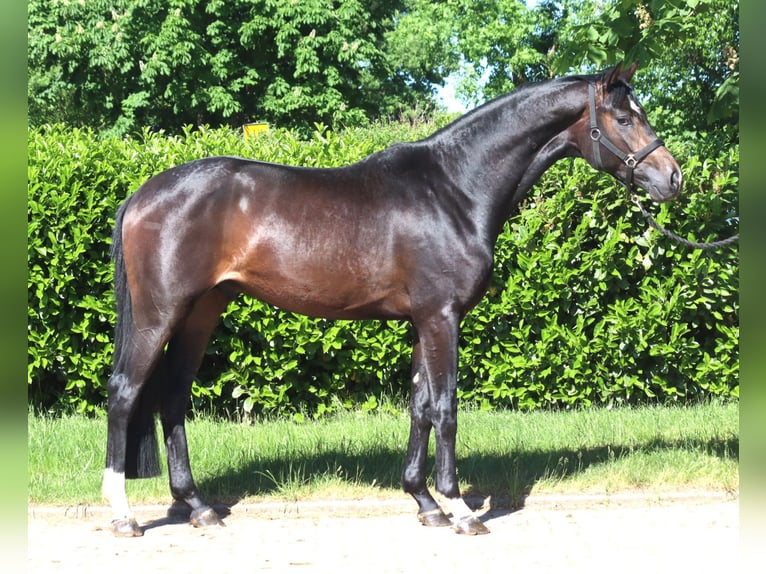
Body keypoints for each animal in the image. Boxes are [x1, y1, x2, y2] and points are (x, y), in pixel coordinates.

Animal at [103, 63, 682, 537]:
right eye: (624, 118)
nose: (673, 178)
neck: (453, 189)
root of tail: (142, 194)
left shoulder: (421, 321)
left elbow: (420, 407)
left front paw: (425, 503)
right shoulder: (442, 318)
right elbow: (446, 408)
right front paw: (460, 510)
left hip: (202, 312)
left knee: (173, 398)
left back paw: (198, 507)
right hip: (159, 316)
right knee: (126, 393)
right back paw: (124, 514)